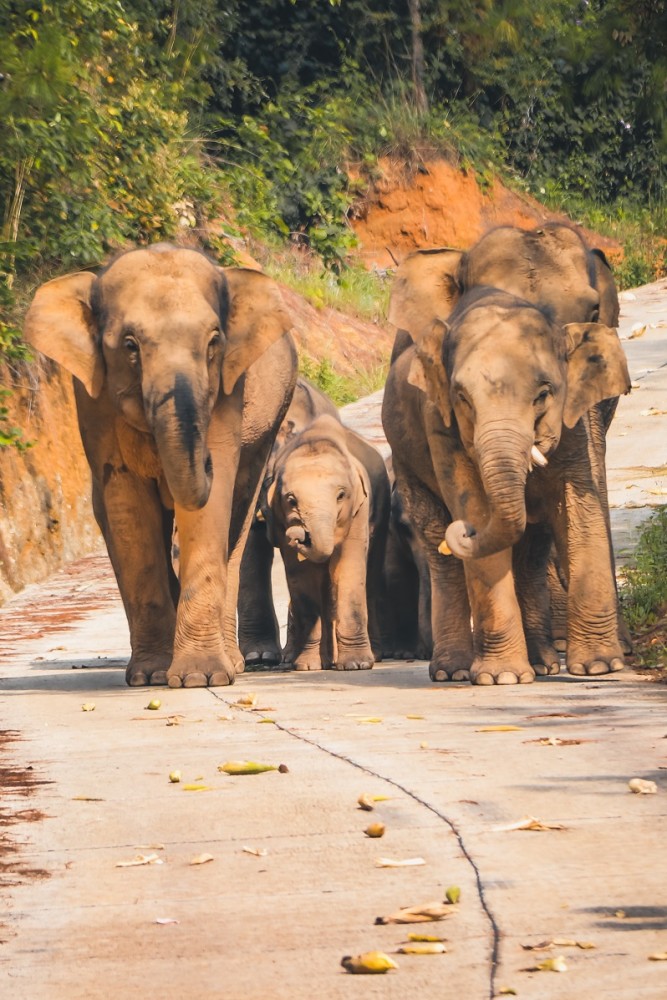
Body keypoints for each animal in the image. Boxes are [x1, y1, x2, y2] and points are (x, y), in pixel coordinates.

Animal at [23, 246, 296, 692]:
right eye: (130, 345)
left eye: (214, 342)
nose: (206, 460)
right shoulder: (93, 398)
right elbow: (127, 504)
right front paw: (151, 676)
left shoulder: (227, 391)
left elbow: (211, 509)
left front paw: (201, 677)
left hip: (268, 426)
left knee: (237, 523)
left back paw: (235, 663)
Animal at [266, 414, 392, 672]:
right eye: (291, 500)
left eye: (341, 495)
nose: (298, 534)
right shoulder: (280, 518)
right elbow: (302, 576)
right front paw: (308, 666)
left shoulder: (359, 509)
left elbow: (348, 567)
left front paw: (356, 665)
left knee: (370, 576)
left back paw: (374, 655)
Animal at [380, 286, 632, 684]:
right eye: (462, 398)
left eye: (543, 394)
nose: (464, 530)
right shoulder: (440, 424)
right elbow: (475, 506)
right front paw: (502, 678)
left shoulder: (572, 426)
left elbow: (577, 506)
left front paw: (600, 667)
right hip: (407, 466)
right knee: (441, 551)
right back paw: (453, 672)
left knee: (530, 551)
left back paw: (543, 665)